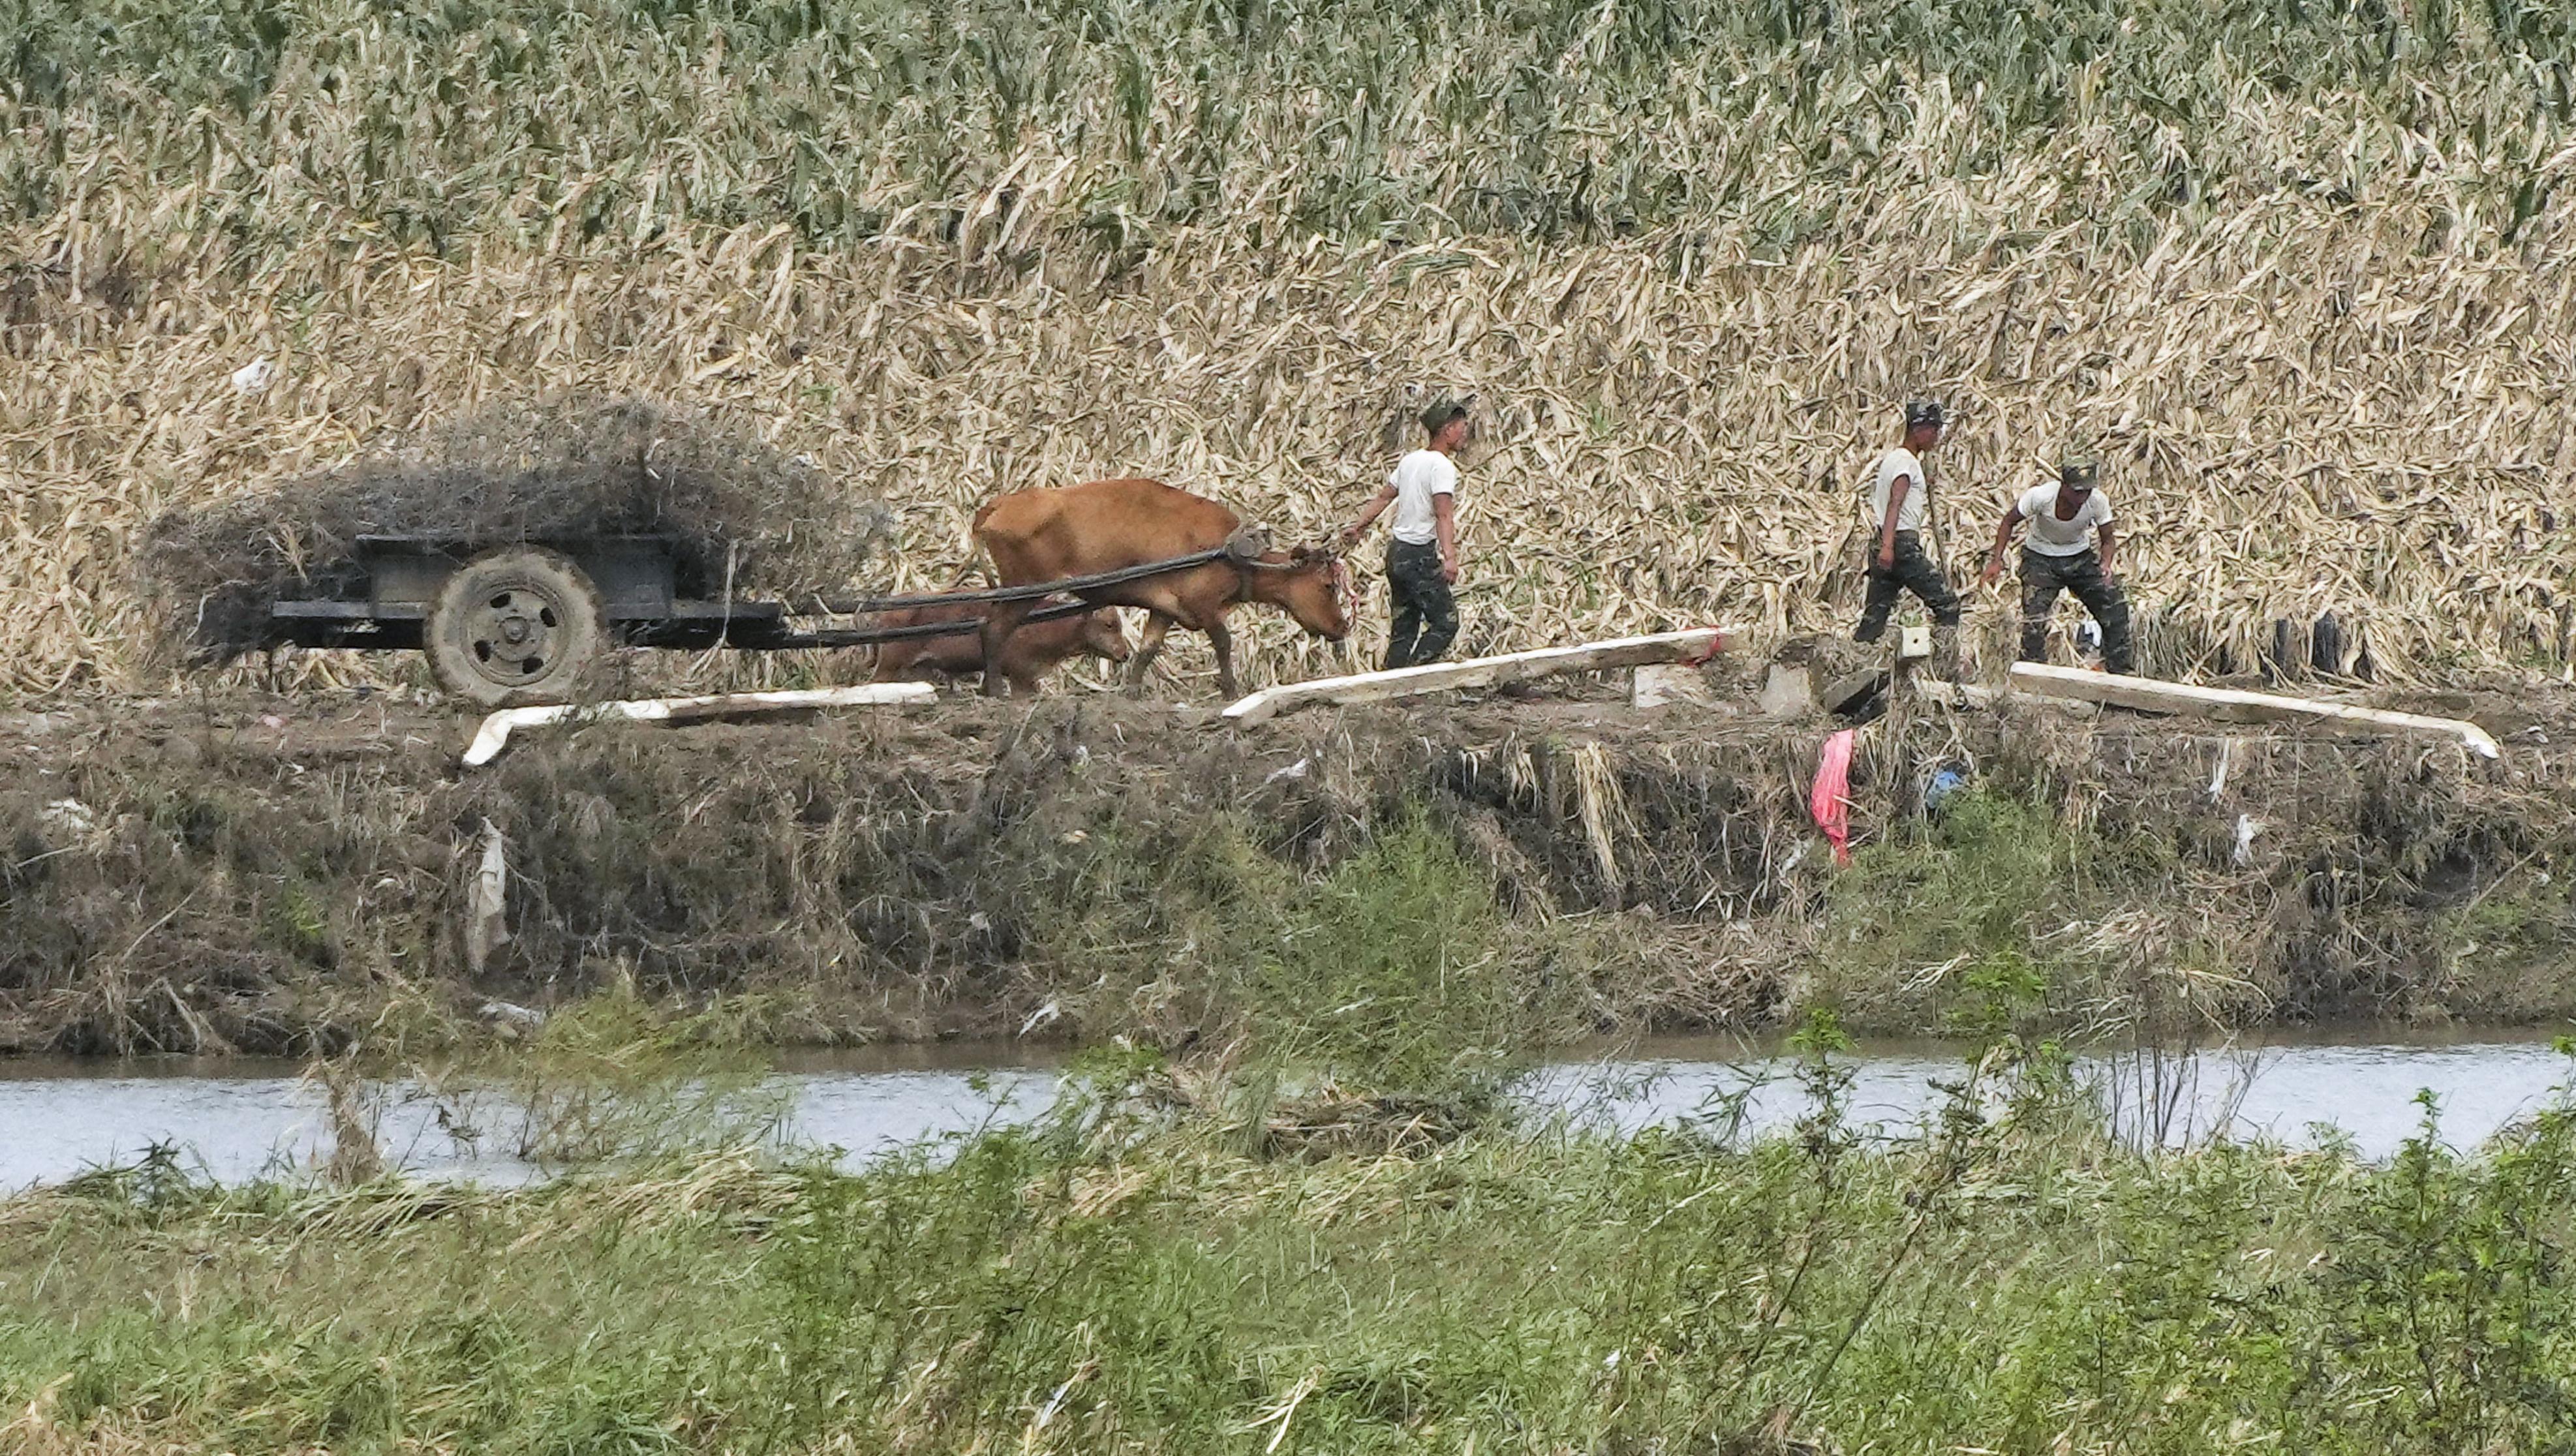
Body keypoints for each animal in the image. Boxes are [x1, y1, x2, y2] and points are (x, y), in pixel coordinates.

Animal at [974, 476, 1360, 695]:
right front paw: (1230, 691)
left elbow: (1147, 650)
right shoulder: (1204, 605)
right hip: (1025, 586)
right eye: (1329, 585)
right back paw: (995, 690)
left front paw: (1130, 692)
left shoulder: (1165, 608)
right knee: (992, 630)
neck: (1232, 556)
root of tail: (998, 503)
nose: (1342, 626)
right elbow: (1224, 643)